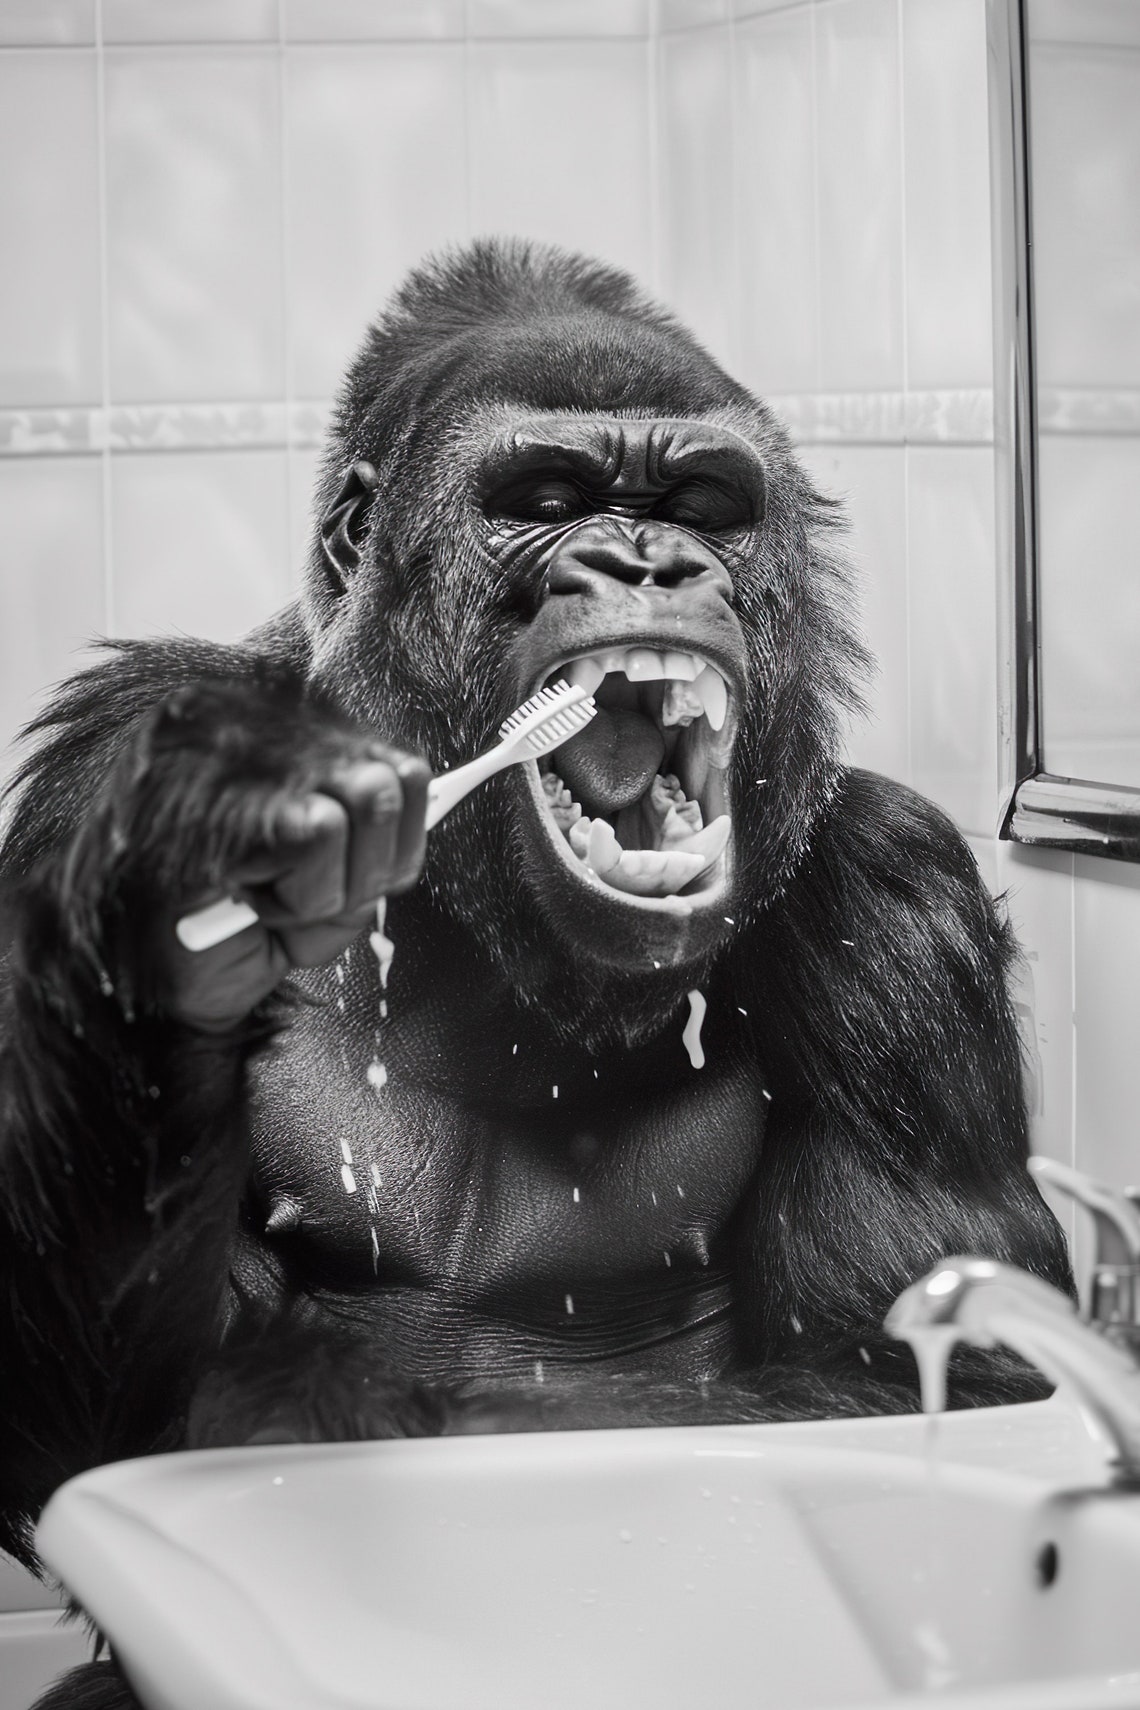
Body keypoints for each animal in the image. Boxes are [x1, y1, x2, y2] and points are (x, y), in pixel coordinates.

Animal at [0, 238, 1070, 1706]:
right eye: (547, 502)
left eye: (702, 504)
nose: (646, 557)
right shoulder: (107, 756)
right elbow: (100, 1415)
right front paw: (173, 904)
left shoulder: (902, 908)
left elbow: (937, 1370)